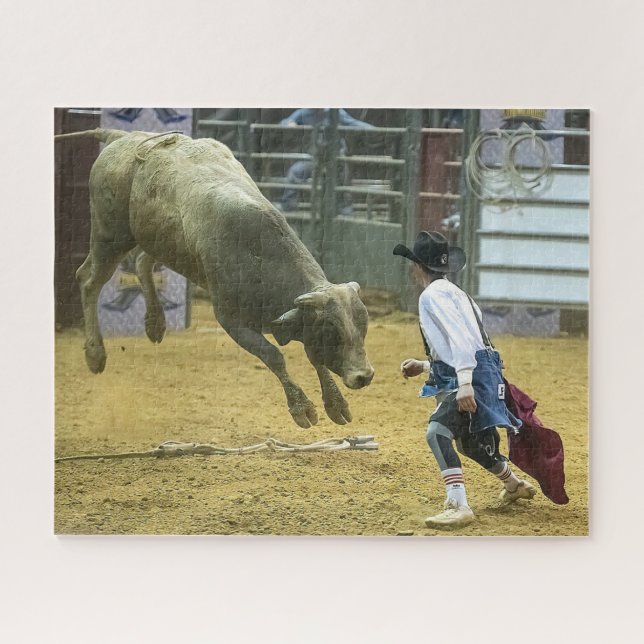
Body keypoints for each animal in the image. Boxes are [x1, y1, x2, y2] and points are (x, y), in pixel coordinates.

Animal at [55, 128, 374, 428]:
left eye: (362, 327)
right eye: (332, 331)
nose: (364, 376)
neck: (258, 255)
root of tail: (124, 137)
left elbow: (314, 357)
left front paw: (336, 404)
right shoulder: (231, 319)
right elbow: (273, 355)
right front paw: (302, 408)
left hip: (158, 240)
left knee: (143, 261)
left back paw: (155, 323)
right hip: (111, 234)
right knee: (88, 279)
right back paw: (95, 354)